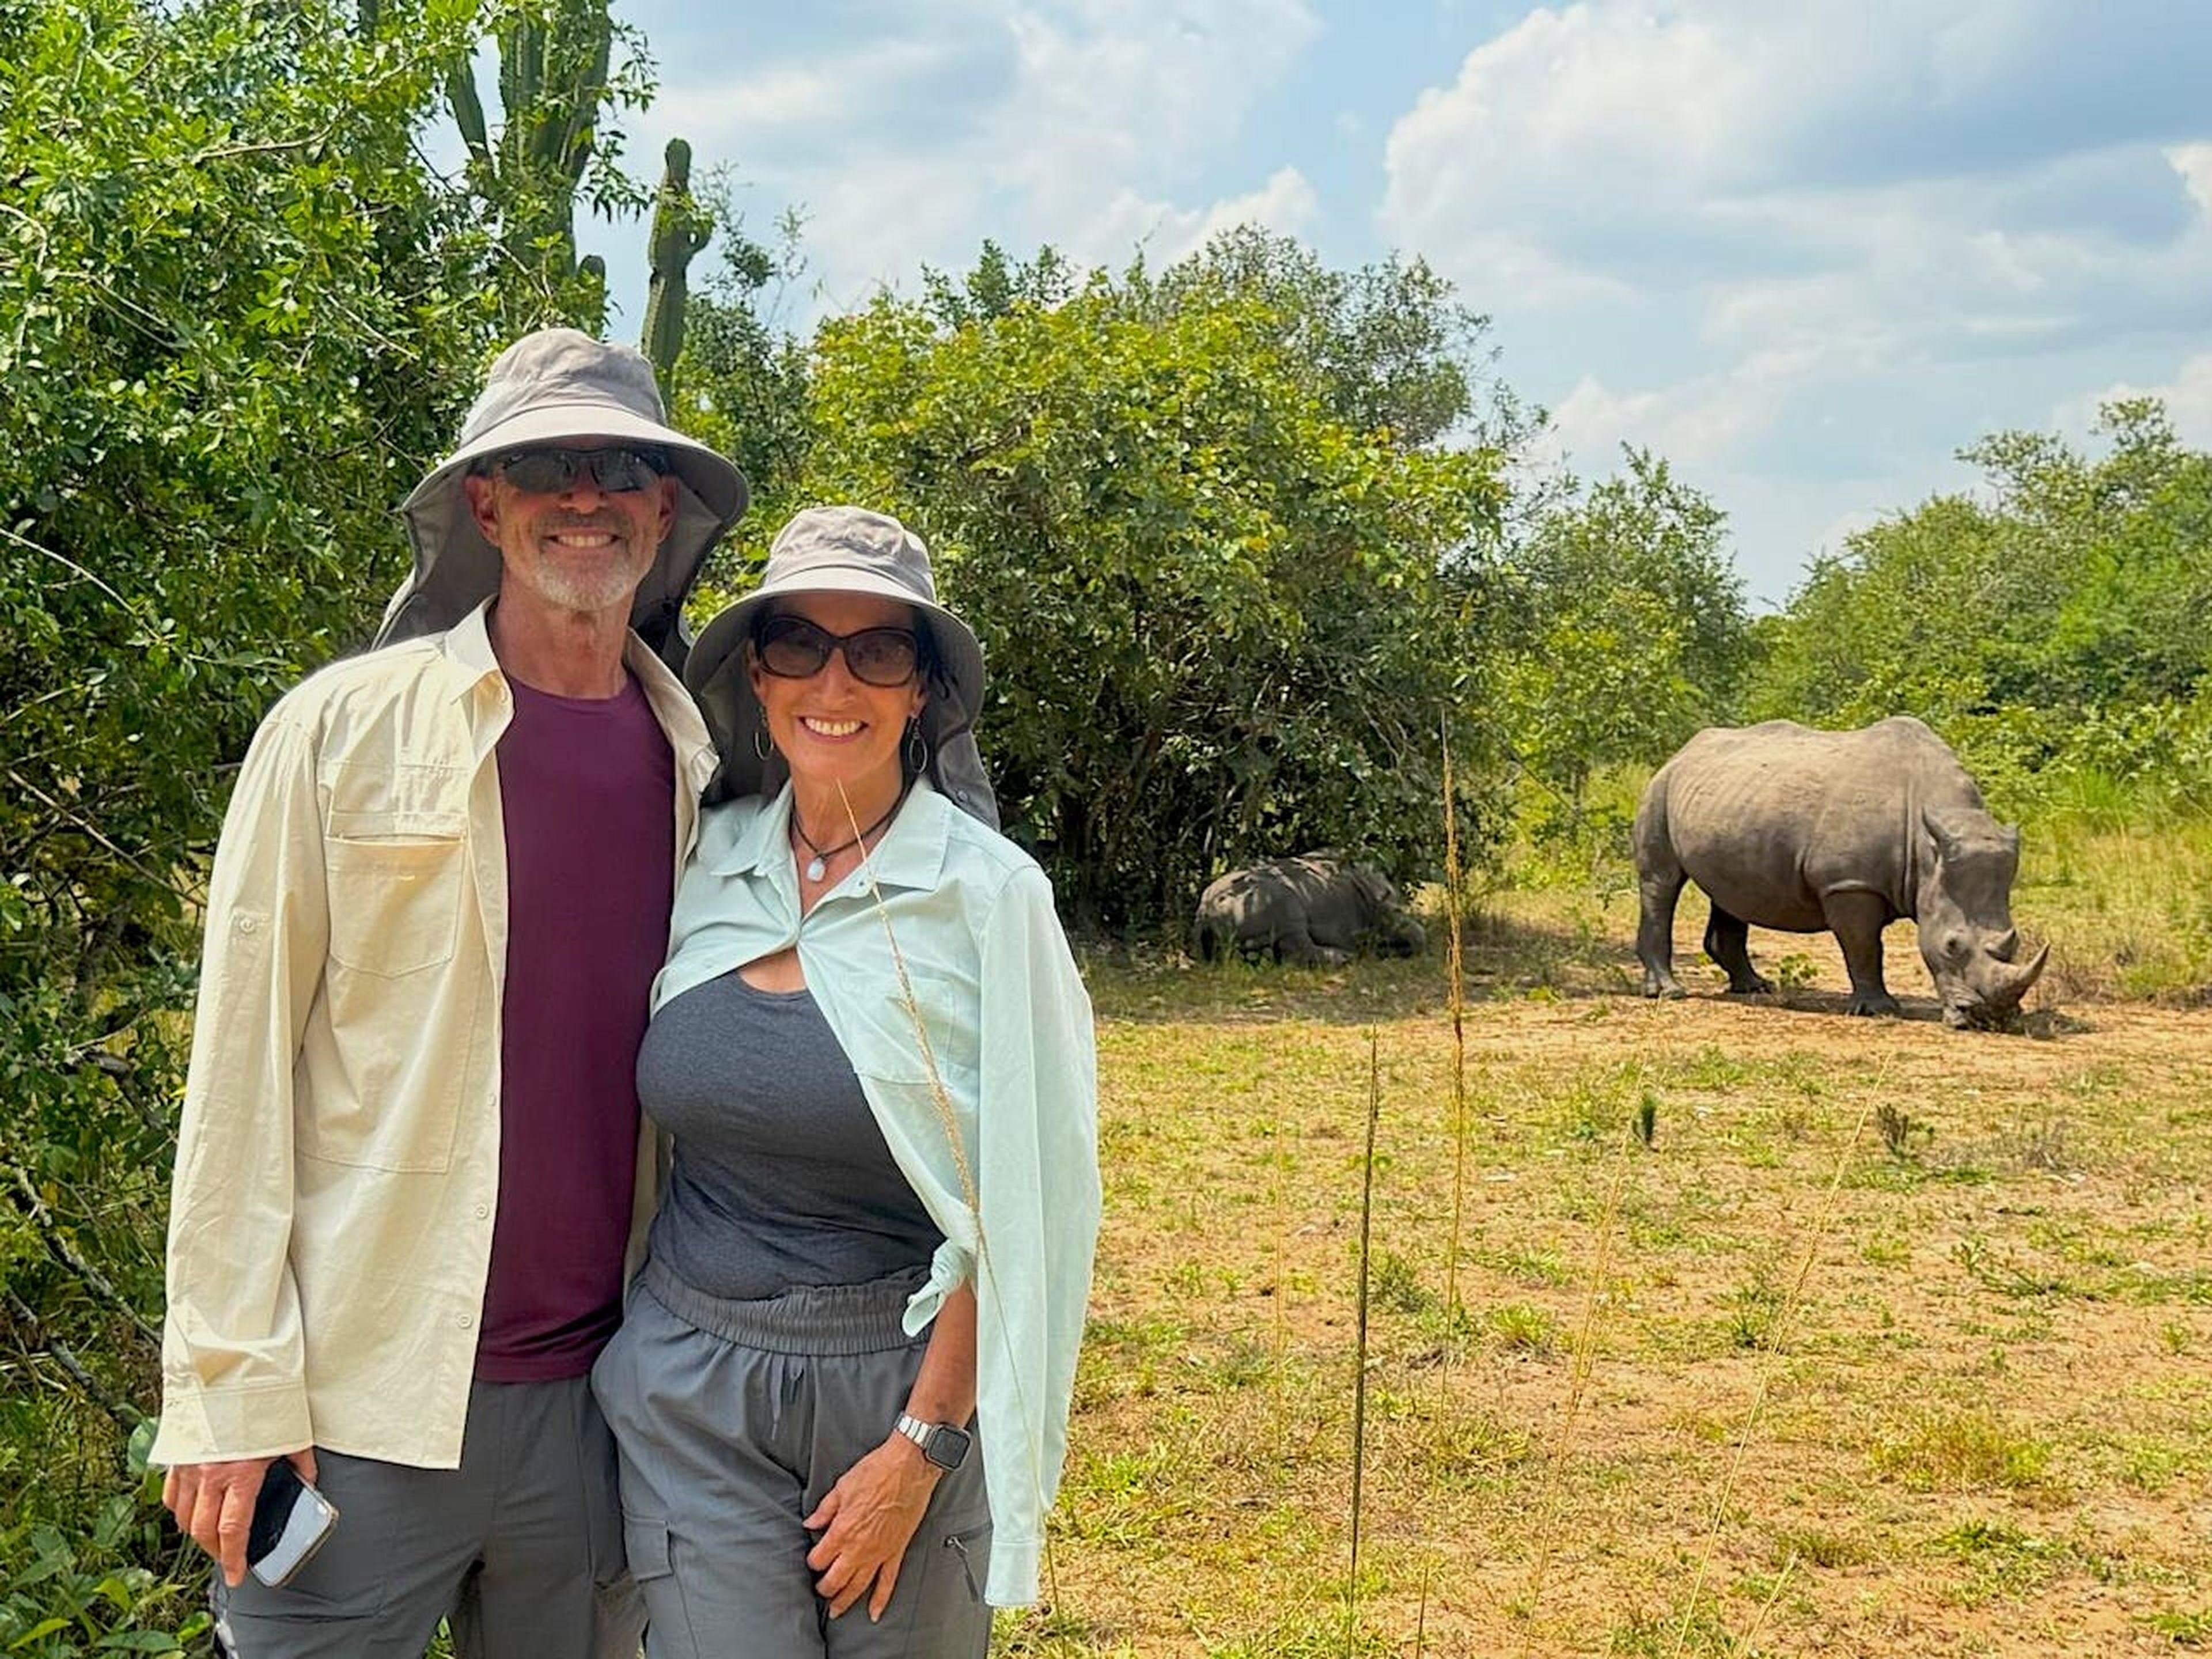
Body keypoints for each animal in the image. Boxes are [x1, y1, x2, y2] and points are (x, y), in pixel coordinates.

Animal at [1637, 721, 2044, 1035]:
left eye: (2015, 942)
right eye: (1952, 946)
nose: (1989, 1020)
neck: (1928, 853)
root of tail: (1683, 751)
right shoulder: (1849, 884)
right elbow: (1864, 946)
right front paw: (1880, 1009)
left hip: (1729, 802)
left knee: (1731, 891)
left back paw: (1755, 988)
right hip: (1660, 788)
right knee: (1662, 882)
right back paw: (1670, 993)